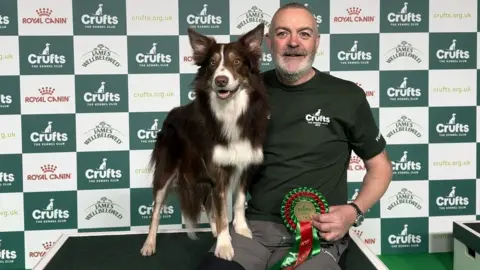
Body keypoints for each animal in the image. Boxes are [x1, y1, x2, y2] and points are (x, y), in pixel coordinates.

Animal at [141, 23, 272, 262]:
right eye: (212, 63)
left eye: (236, 62)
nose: (221, 80)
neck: (229, 111)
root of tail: (171, 113)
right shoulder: (217, 170)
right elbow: (221, 210)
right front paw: (224, 245)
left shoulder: (244, 165)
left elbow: (237, 202)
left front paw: (241, 230)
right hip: (167, 169)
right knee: (156, 209)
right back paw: (149, 243)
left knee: (208, 203)